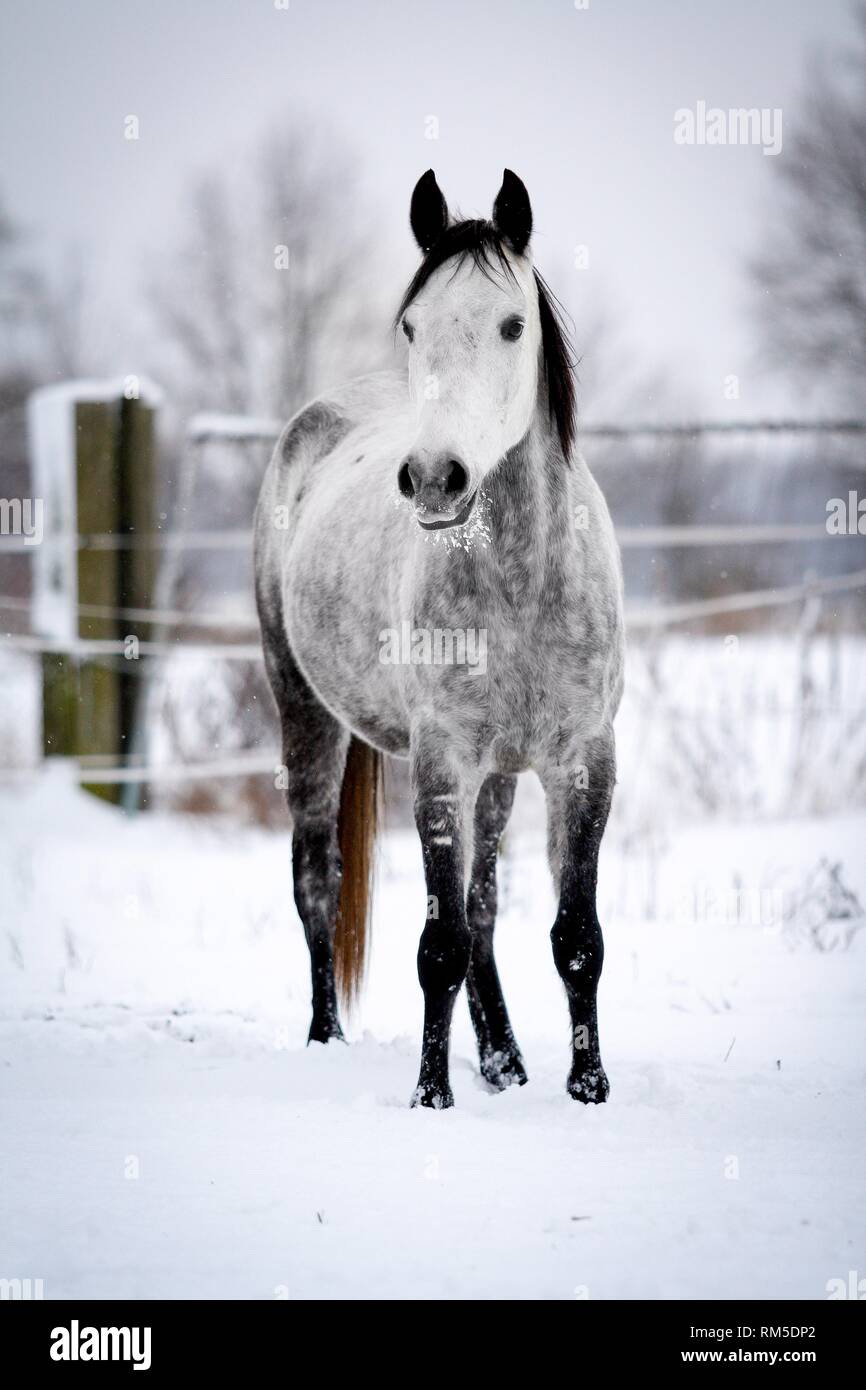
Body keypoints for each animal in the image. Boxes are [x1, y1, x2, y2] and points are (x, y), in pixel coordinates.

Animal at [254, 170, 625, 1106]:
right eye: (414, 326)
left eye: (513, 324)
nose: (434, 477)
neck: (524, 580)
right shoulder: (440, 763)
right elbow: (439, 945)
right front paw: (430, 1094)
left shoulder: (584, 759)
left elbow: (574, 936)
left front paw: (588, 1088)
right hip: (304, 712)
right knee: (317, 878)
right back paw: (327, 1038)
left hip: (497, 777)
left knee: (484, 905)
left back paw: (505, 1060)